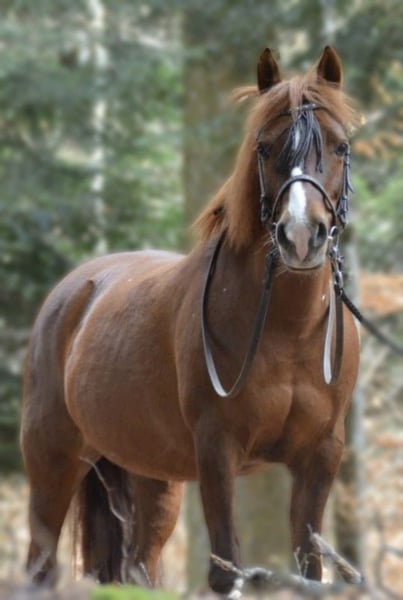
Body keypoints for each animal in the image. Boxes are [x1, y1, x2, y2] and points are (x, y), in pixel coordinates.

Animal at [20, 46, 361, 596]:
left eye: (340, 146)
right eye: (265, 147)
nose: (300, 236)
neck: (287, 331)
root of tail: (73, 291)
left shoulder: (322, 454)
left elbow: (311, 569)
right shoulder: (217, 451)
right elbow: (227, 568)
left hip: (151, 475)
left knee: (138, 567)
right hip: (53, 463)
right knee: (40, 565)